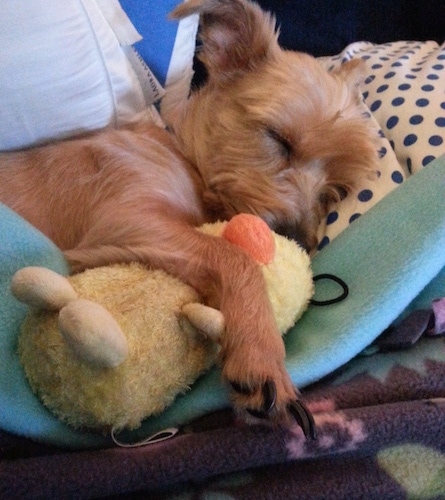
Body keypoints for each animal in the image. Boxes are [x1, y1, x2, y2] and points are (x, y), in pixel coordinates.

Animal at [0, 0, 376, 438]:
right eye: (278, 139)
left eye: (335, 190)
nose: (301, 242)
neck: (181, 153)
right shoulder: (126, 222)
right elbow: (236, 258)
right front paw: (261, 358)